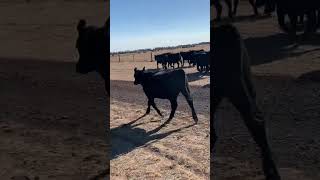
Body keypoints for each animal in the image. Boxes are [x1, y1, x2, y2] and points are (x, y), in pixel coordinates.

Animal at [211, 23, 282, 179]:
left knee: (253, 121)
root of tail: (227, 28)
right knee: (258, 118)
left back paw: (271, 173)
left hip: (234, 85)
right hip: (246, 82)